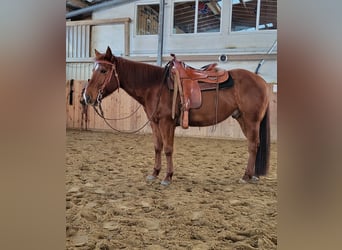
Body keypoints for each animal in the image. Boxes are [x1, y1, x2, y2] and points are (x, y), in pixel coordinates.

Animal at [83, 47, 270, 186]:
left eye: (103, 70)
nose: (87, 96)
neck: (154, 86)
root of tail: (261, 81)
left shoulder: (167, 123)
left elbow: (168, 148)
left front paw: (167, 177)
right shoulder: (155, 123)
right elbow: (157, 147)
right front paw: (154, 173)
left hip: (251, 121)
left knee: (253, 145)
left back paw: (246, 176)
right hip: (242, 119)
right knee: (253, 145)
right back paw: (252, 175)